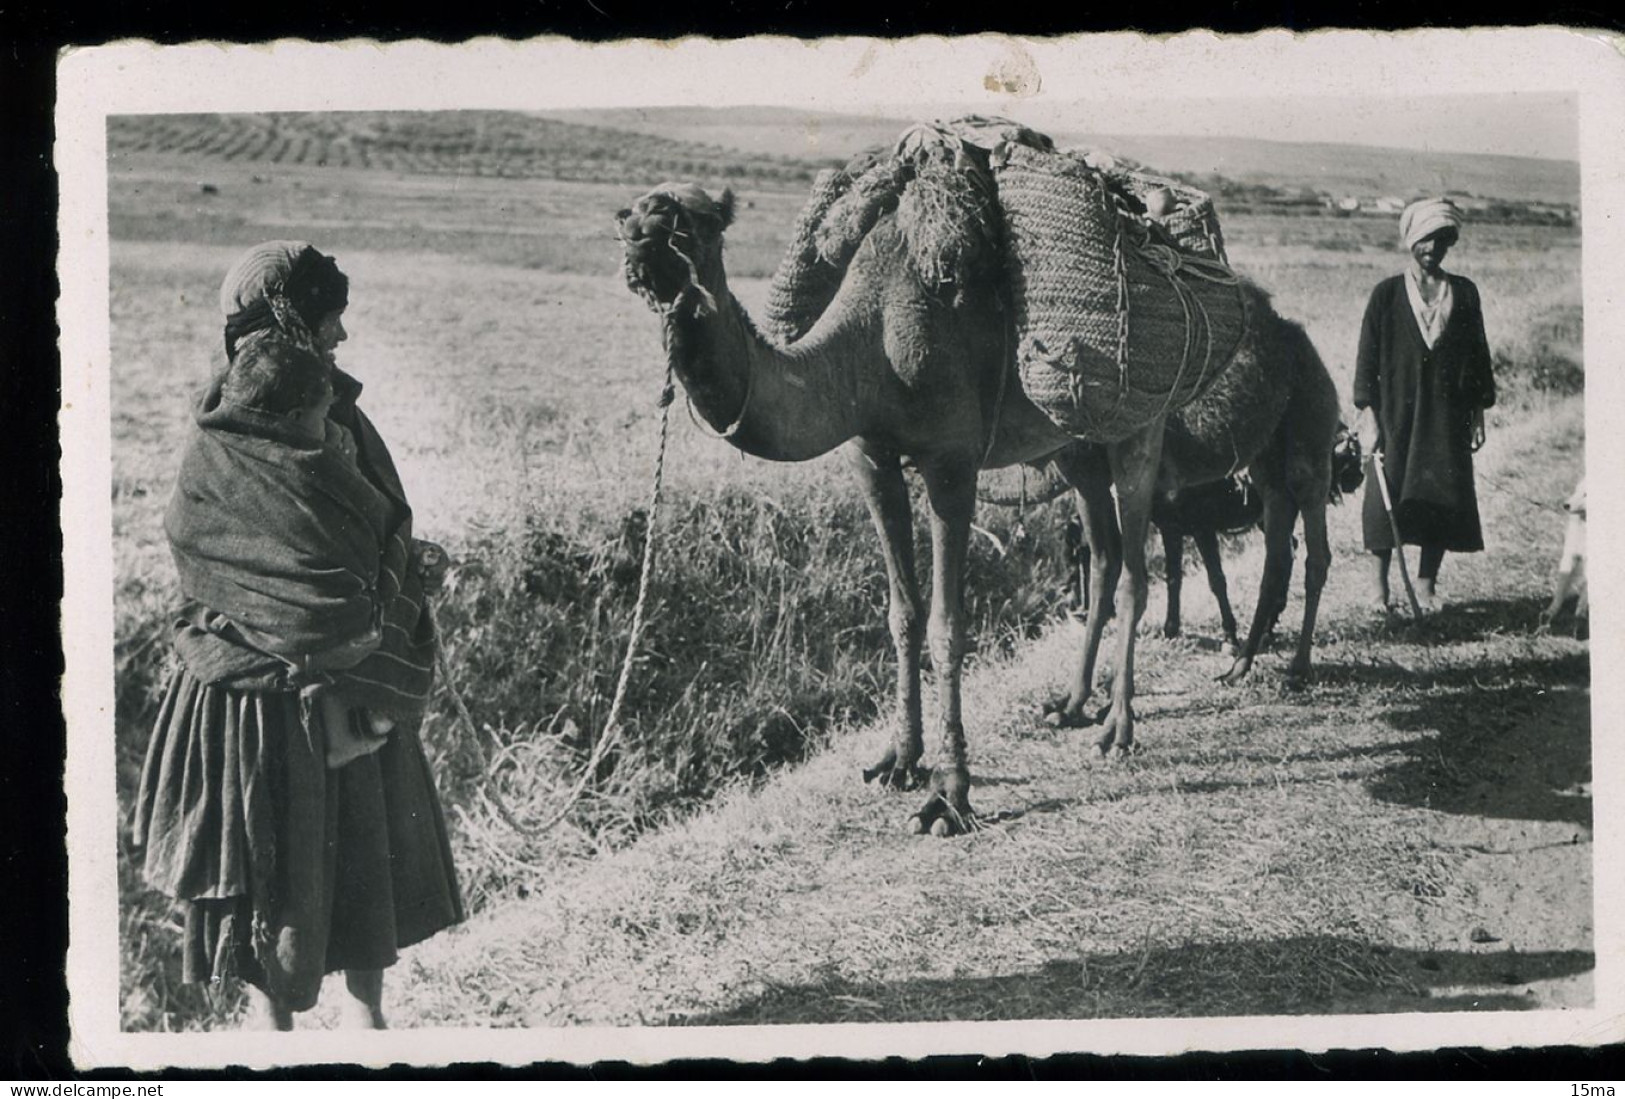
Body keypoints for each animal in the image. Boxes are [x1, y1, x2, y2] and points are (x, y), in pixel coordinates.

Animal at [614, 178, 1339, 832]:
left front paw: (949, 794)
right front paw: (898, 759)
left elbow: (947, 623)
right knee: (1110, 557)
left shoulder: (951, 463)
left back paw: (1122, 724)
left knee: (1144, 567)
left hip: (1146, 427)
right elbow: (901, 612)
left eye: (693, 223)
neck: (870, 341)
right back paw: (1073, 702)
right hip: (1079, 449)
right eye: (631, 212)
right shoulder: (872, 458)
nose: (638, 239)